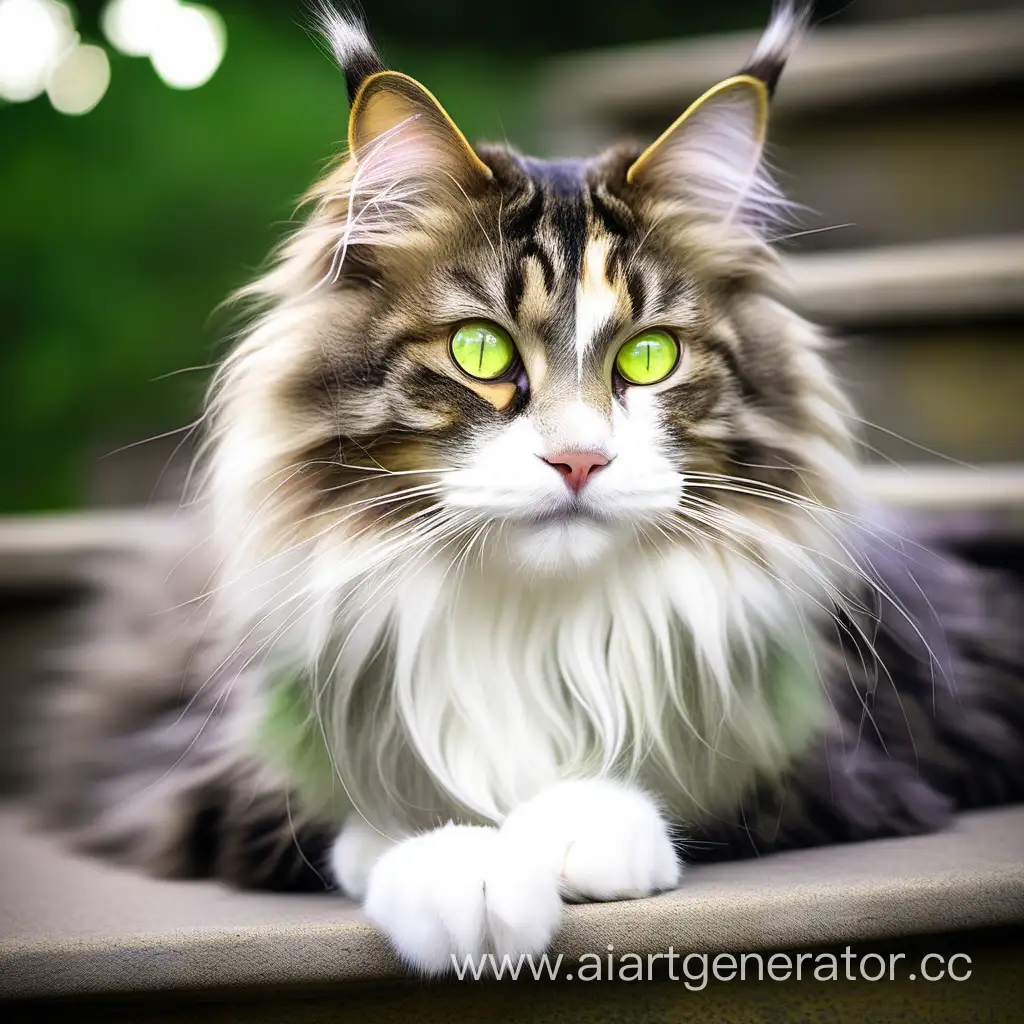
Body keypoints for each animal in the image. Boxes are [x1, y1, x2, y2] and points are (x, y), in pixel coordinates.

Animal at [34, 0, 1024, 974]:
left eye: (648, 356)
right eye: (481, 350)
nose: (579, 460)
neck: (528, 620)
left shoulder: (858, 750)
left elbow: (701, 782)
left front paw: (572, 832)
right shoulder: (181, 762)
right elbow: (357, 804)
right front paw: (468, 875)